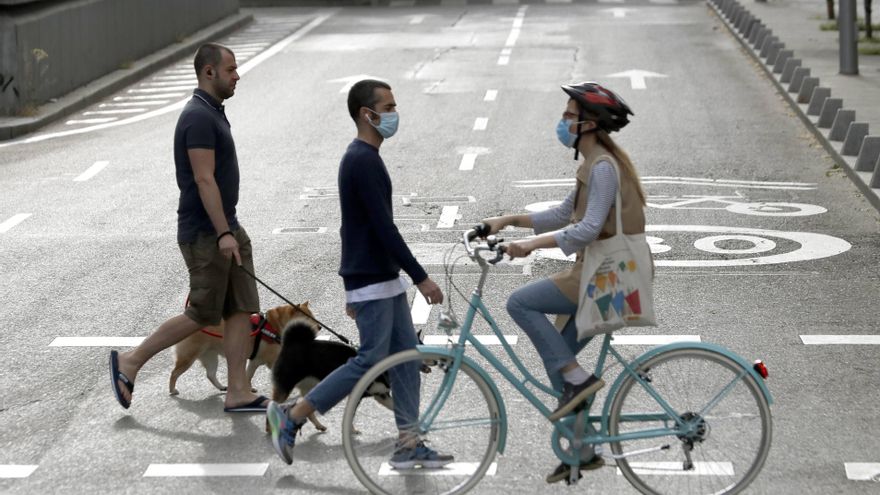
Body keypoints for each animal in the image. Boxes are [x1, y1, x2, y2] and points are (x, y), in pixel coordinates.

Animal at [169, 300, 320, 398]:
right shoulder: (268, 361)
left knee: (210, 374)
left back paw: (221, 386)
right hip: (188, 358)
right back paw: (172, 389)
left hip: (211, 357)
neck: (274, 326)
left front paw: (247, 389)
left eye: (314, 316)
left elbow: (248, 375)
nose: (319, 327)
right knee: (174, 373)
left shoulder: (254, 361)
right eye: (308, 319)